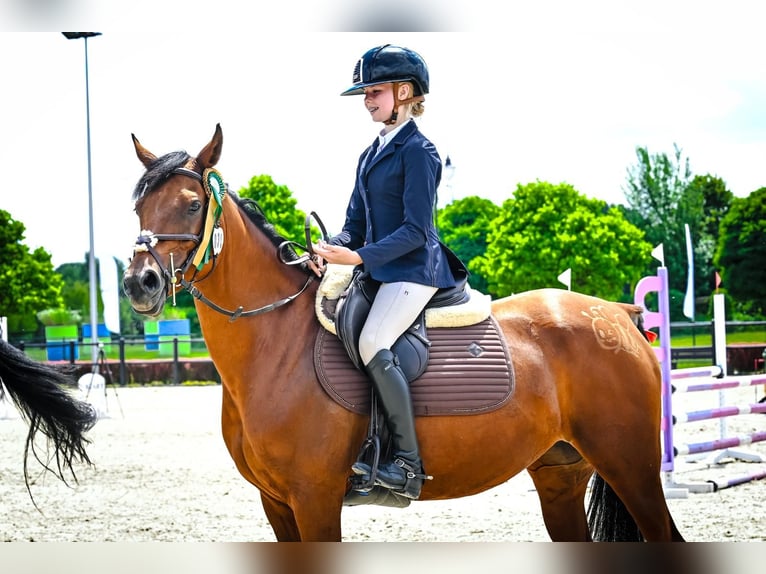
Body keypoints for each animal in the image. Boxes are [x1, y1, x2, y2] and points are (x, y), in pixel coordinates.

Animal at [122, 124, 684, 542]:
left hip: (630, 466)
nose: (139, 283)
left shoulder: (314, 498)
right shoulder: (276, 502)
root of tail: (615, 315)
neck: (273, 344)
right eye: (138, 208)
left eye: (193, 204)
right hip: (561, 474)